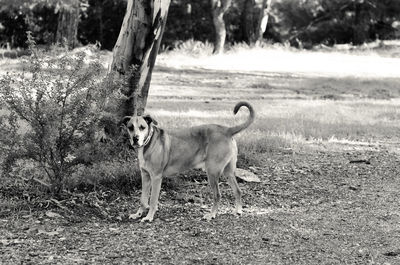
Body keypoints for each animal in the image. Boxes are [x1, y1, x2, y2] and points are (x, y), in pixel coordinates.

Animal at [120, 101, 255, 221]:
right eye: (130, 127)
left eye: (142, 127)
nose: (135, 138)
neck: (149, 142)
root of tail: (227, 130)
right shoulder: (145, 176)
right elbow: (143, 199)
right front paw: (138, 214)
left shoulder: (156, 177)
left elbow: (152, 200)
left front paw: (149, 217)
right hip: (228, 172)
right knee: (238, 191)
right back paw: (238, 210)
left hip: (212, 172)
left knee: (217, 195)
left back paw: (211, 214)